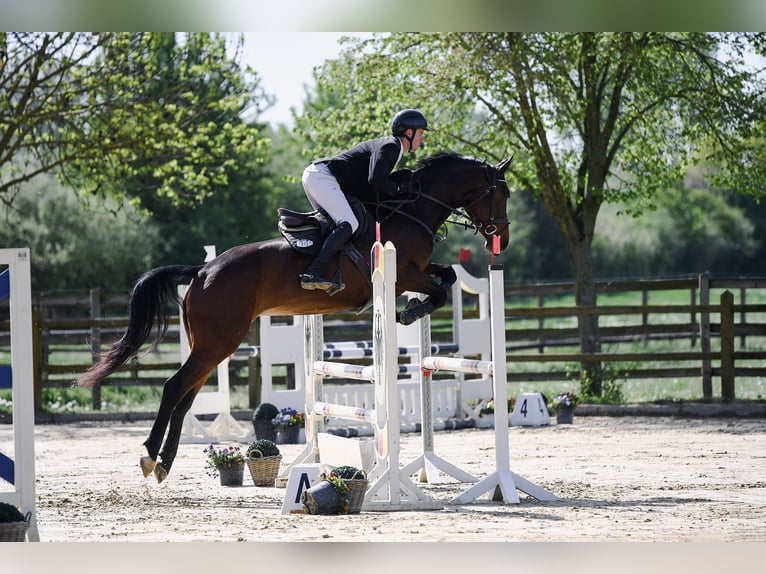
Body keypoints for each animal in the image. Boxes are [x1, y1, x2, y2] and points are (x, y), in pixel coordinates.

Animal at [76, 152, 512, 483]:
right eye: (501, 193)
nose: (502, 239)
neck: (412, 210)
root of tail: (202, 271)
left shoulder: (417, 271)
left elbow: (449, 275)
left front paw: (412, 309)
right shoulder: (404, 273)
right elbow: (439, 288)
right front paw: (410, 312)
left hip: (211, 345)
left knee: (185, 398)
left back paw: (165, 463)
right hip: (220, 341)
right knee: (173, 388)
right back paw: (151, 455)